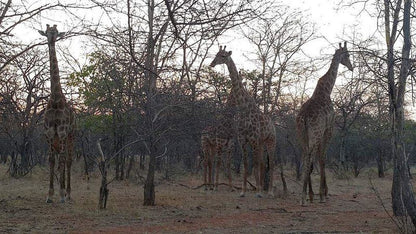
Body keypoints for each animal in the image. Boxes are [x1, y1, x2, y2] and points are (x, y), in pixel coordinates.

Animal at [210, 45, 284, 197]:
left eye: (223, 56)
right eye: (216, 54)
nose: (212, 64)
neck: (244, 109)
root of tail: (273, 125)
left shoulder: (253, 140)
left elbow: (254, 164)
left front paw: (259, 192)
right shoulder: (243, 141)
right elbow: (245, 164)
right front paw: (243, 191)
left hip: (270, 141)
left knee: (272, 162)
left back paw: (269, 192)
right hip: (261, 143)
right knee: (263, 163)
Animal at [296, 41, 354, 205]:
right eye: (347, 55)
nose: (351, 67)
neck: (327, 90)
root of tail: (304, 118)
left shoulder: (321, 132)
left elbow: (319, 157)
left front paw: (318, 193)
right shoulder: (328, 129)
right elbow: (323, 157)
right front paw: (323, 194)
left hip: (302, 135)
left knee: (305, 156)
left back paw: (307, 195)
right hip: (314, 133)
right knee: (310, 156)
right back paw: (304, 196)